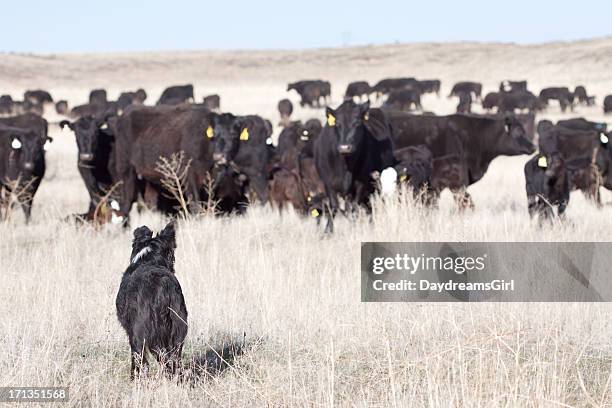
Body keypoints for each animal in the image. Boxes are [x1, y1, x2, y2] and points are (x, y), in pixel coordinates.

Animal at [115, 220, 186, 380]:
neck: (149, 259)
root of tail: (163, 285)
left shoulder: (132, 333)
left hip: (143, 333)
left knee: (150, 359)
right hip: (179, 326)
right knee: (174, 360)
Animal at [314, 101, 394, 233]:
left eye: (357, 123)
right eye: (337, 124)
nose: (345, 147)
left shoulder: (362, 183)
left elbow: (355, 207)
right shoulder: (328, 182)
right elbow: (334, 206)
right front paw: (327, 232)